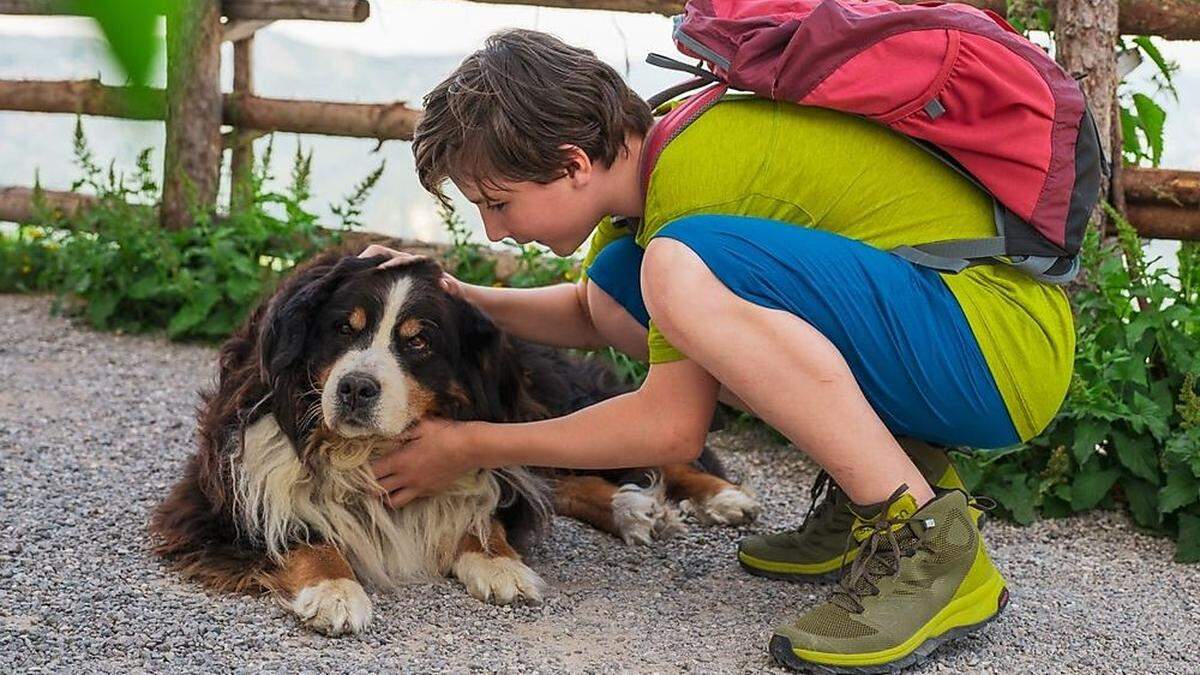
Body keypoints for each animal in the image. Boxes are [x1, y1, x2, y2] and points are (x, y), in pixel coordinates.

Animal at [150, 243, 758, 634]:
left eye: (418, 343)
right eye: (343, 328)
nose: (355, 388)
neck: (363, 453)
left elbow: (482, 501)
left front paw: (495, 560)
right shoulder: (221, 491)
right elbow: (302, 533)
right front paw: (335, 591)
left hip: (541, 395)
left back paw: (719, 497)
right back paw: (632, 508)